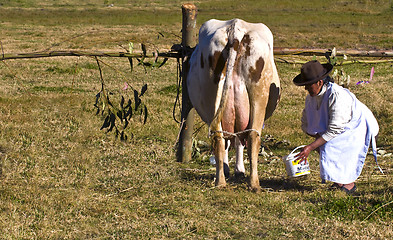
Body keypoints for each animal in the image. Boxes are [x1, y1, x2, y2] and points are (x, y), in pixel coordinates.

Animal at [186, 18, 278, 191]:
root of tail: (235, 30)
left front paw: (231, 169)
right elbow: (238, 140)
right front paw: (238, 170)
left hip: (215, 96)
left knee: (220, 136)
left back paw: (221, 181)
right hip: (259, 96)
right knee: (251, 135)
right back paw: (253, 183)